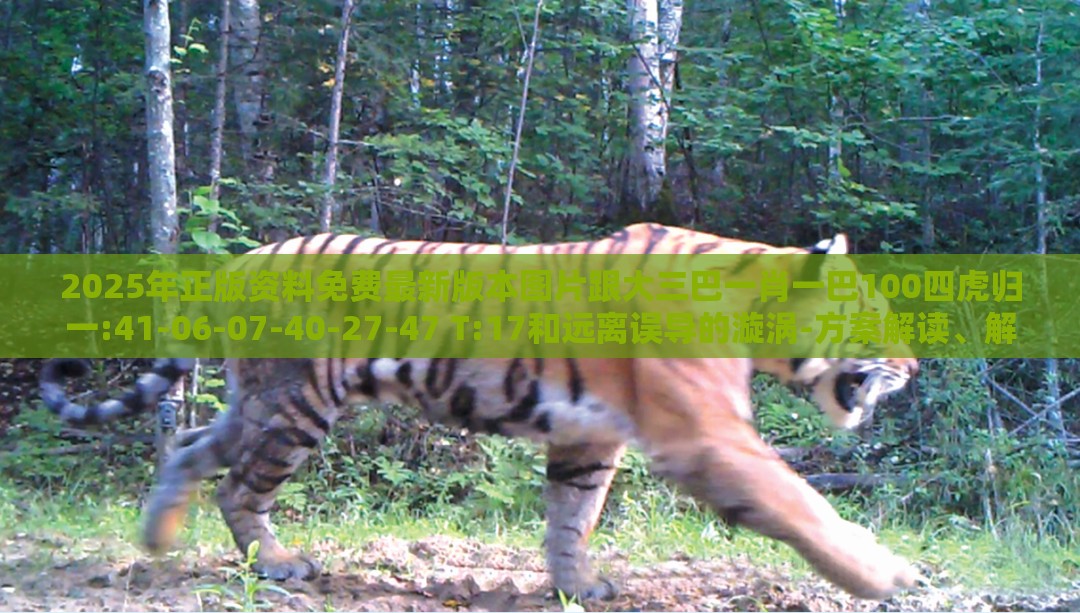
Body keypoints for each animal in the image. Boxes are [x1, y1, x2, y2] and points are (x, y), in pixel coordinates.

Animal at [39, 223, 921, 602]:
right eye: (875, 314)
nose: (914, 367)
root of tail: (240, 261)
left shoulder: (589, 436)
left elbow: (570, 518)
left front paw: (578, 586)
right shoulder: (706, 436)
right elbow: (799, 503)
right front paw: (887, 576)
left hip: (260, 397)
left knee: (191, 442)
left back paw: (157, 538)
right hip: (296, 404)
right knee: (236, 486)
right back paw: (281, 567)